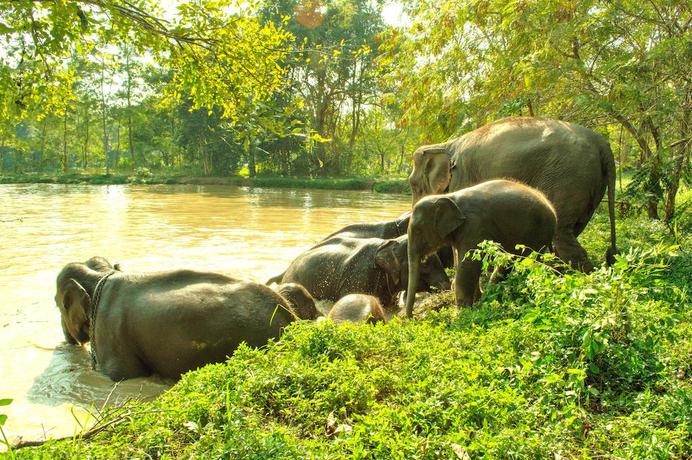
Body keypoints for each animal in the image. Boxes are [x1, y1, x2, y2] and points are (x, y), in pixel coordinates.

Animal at [405, 180, 557, 317]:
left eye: (418, 231)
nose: (412, 317)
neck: (450, 197)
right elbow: (462, 261)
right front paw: (476, 301)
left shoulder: (475, 226)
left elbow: (468, 265)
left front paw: (462, 314)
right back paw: (491, 295)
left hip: (536, 234)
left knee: (523, 263)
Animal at [408, 116, 616, 272]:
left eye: (413, 185)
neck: (445, 145)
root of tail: (601, 143)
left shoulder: (462, 178)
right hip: (589, 184)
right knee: (571, 230)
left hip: (568, 175)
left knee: (562, 234)